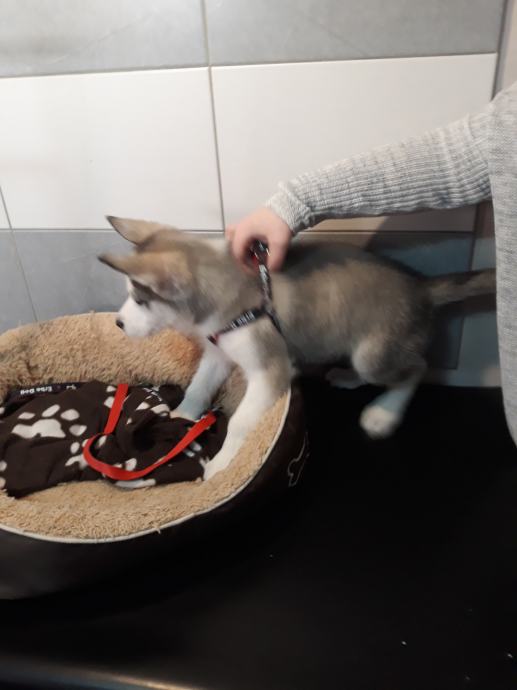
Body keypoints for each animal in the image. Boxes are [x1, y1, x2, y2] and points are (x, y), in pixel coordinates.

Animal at [99, 216, 495, 480]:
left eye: (141, 300)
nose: (118, 324)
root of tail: (421, 287)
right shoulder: (219, 353)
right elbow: (198, 389)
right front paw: (181, 417)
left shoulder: (270, 370)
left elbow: (240, 422)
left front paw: (223, 463)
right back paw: (347, 378)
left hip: (373, 354)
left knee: (416, 368)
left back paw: (384, 413)